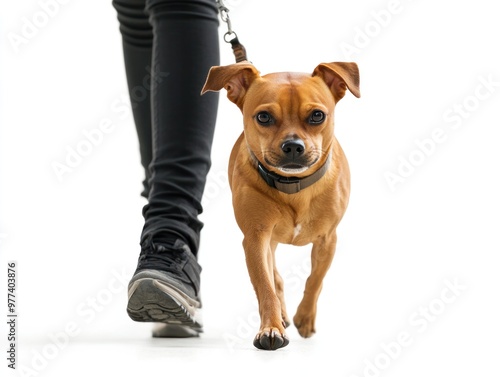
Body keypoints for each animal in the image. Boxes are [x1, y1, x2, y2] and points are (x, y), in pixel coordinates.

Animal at [201, 61, 362, 350]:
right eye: (264, 117)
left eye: (317, 116)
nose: (293, 146)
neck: (293, 186)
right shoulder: (255, 238)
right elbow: (266, 286)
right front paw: (272, 328)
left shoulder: (328, 239)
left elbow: (315, 280)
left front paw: (305, 318)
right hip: (268, 242)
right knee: (274, 277)